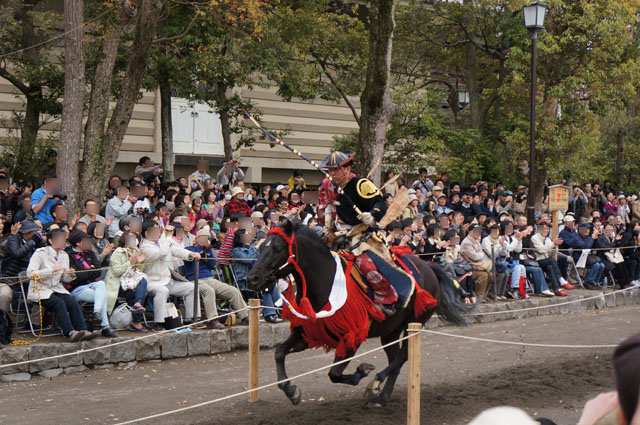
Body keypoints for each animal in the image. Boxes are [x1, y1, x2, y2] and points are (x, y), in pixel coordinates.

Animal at [245, 220, 464, 406]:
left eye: (277, 248)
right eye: (261, 247)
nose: (252, 278)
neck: (325, 283)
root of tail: (429, 268)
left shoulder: (352, 338)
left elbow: (334, 374)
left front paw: (362, 372)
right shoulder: (308, 334)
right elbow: (279, 352)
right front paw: (291, 390)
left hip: (415, 322)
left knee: (402, 356)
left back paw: (375, 385)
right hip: (390, 331)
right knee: (396, 359)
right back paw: (382, 396)